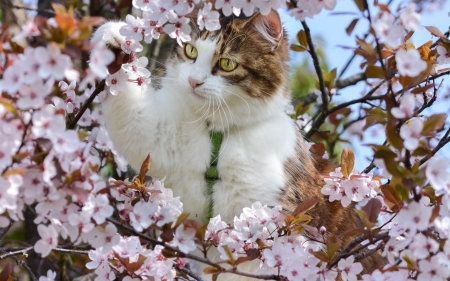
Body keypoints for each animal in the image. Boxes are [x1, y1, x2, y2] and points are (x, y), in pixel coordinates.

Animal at [90, 8, 384, 278]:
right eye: (190, 50)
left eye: (227, 64)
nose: (193, 81)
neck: (217, 135)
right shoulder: (155, 133)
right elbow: (132, 120)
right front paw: (112, 37)